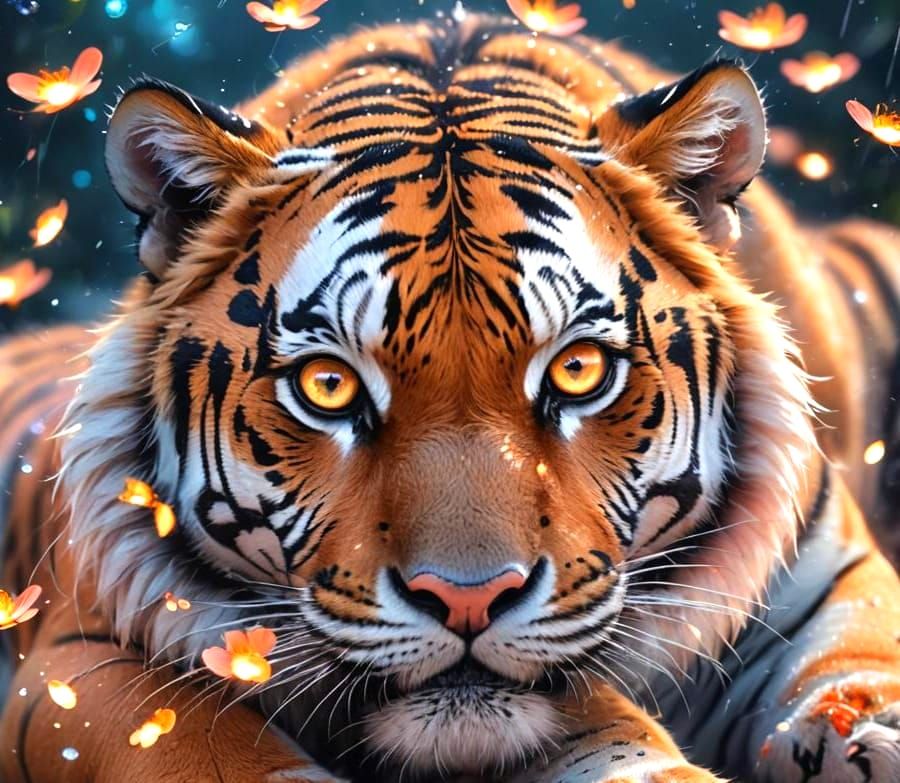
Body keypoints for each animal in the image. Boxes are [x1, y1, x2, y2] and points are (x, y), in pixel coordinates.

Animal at [2, 13, 900, 783]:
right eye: (327, 386)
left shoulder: (833, 579)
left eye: (578, 371)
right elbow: (200, 742)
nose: (468, 600)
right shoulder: (74, 655)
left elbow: (859, 672)